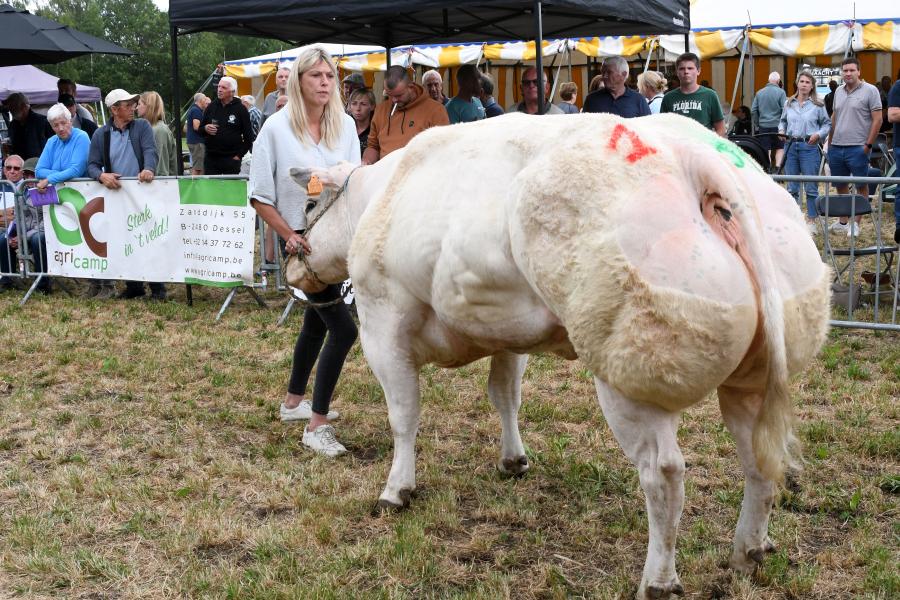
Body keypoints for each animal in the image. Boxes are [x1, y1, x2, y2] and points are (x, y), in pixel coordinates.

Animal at [288, 112, 831, 599]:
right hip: (752, 377)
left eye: (311, 201)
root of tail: (696, 157)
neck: (379, 197)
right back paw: (749, 552)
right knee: (758, 459)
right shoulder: (506, 333)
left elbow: (404, 416)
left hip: (629, 374)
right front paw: (513, 460)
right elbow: (505, 395)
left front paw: (396, 490)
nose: (293, 263)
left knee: (664, 474)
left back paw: (658, 581)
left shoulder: (383, 322)